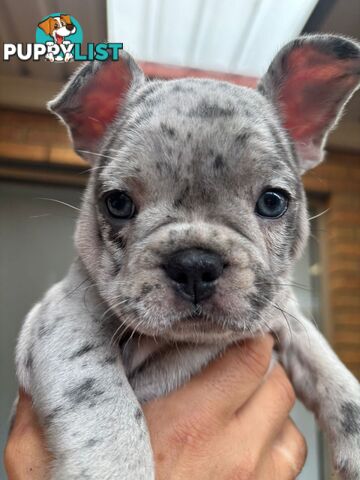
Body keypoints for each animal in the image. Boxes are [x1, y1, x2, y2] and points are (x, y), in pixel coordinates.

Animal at [16, 34, 360, 480]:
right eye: (118, 203)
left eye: (272, 202)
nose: (195, 264)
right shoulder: (67, 316)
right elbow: (101, 398)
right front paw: (115, 466)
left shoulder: (284, 313)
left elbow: (323, 362)